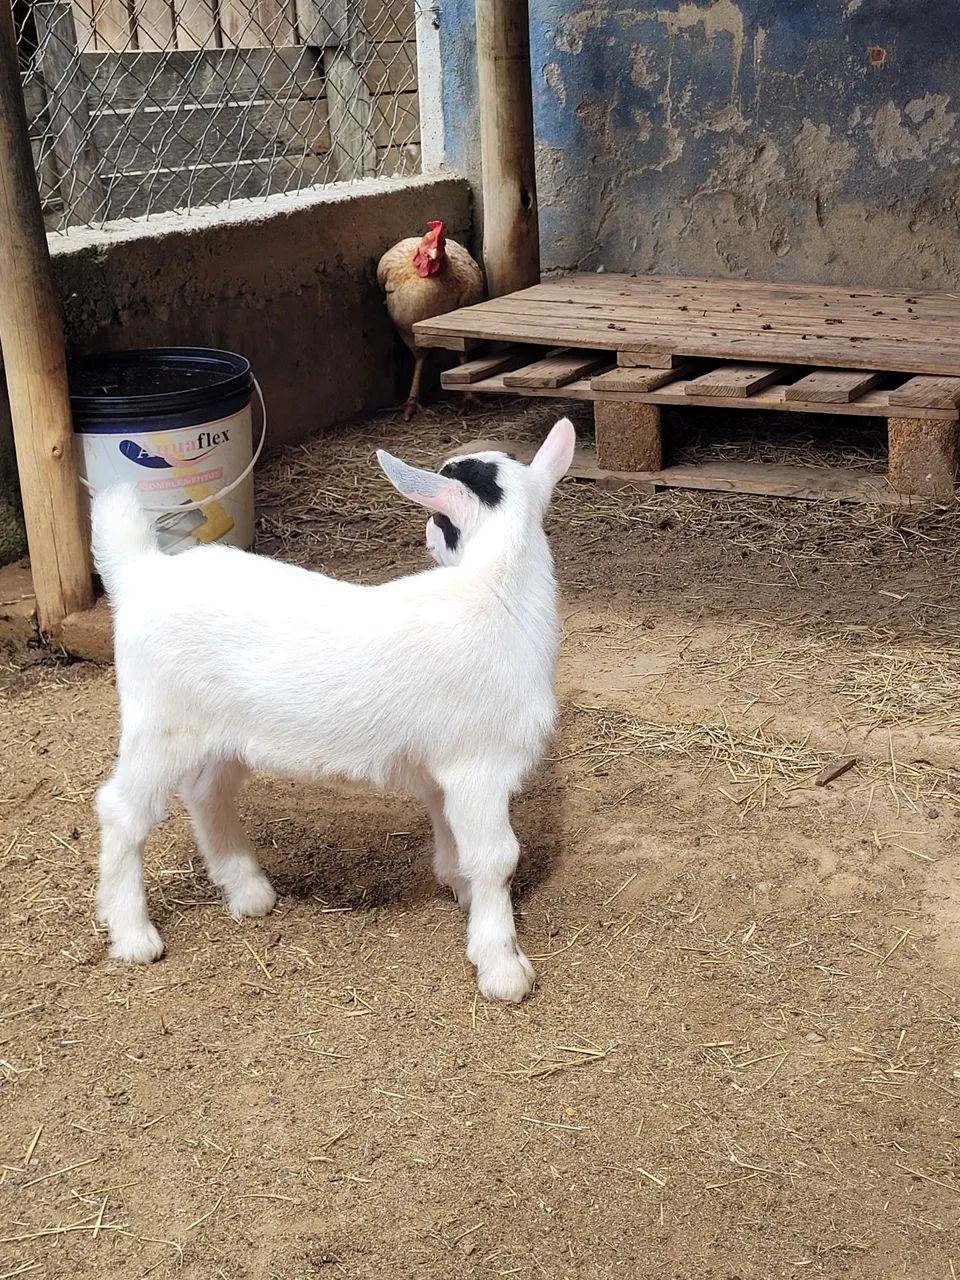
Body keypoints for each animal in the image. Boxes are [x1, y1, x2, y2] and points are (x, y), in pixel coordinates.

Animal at [91, 417, 576, 1002]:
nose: (427, 537)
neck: (498, 590)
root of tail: (142, 573)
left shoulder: (441, 765)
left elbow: (450, 828)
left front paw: (456, 886)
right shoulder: (477, 765)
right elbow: (496, 858)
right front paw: (501, 966)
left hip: (221, 732)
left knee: (207, 792)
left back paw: (248, 891)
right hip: (159, 722)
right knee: (122, 812)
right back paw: (133, 934)